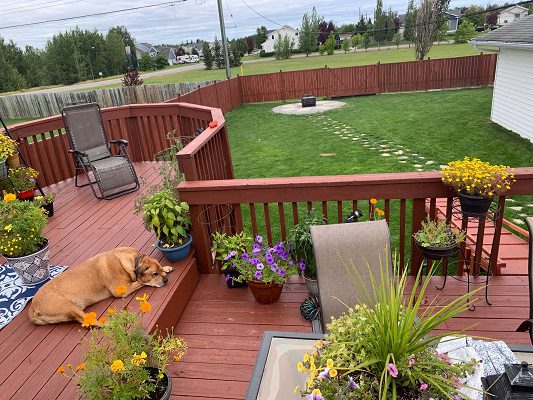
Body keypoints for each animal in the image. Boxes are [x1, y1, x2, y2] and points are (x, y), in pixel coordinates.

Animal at [28, 248, 172, 326]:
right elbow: (140, 282)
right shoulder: (122, 290)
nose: (165, 280)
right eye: (154, 274)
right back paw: (108, 324)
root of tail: (33, 305)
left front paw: (166, 268)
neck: (133, 260)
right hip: (67, 306)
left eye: (159, 269)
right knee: (89, 321)